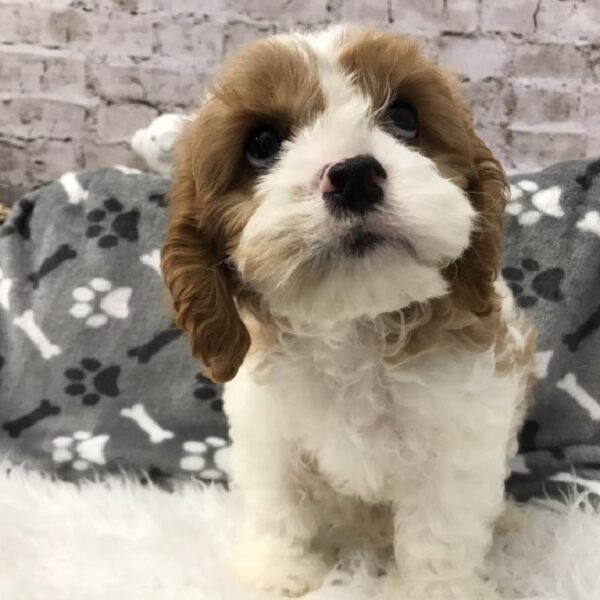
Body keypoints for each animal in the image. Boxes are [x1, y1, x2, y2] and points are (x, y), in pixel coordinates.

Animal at [161, 24, 536, 600]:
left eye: (404, 116)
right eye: (262, 143)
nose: (356, 175)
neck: (353, 325)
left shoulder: (458, 441)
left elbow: (440, 532)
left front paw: (437, 590)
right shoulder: (268, 431)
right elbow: (278, 503)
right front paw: (280, 571)